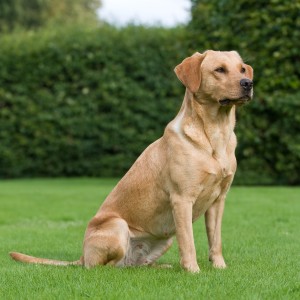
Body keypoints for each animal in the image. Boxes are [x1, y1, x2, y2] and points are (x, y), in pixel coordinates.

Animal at [9, 51, 253, 272]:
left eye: (242, 69)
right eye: (219, 69)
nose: (248, 83)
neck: (215, 133)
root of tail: (81, 256)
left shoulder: (218, 200)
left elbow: (215, 240)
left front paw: (220, 268)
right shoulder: (182, 199)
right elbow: (189, 243)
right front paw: (193, 271)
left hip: (165, 239)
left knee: (135, 265)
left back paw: (161, 267)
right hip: (119, 226)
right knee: (105, 267)